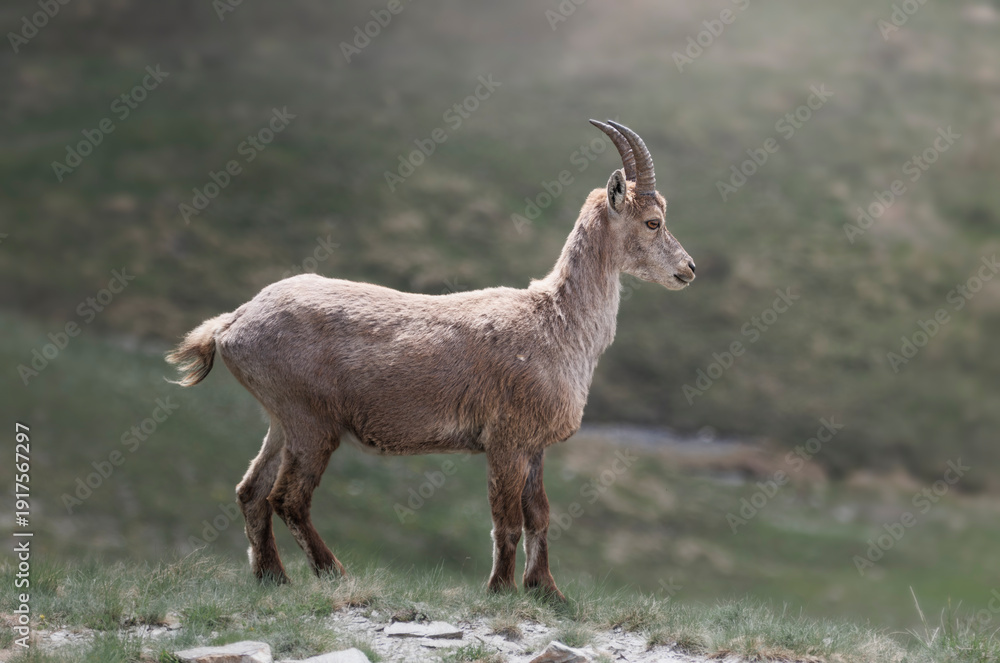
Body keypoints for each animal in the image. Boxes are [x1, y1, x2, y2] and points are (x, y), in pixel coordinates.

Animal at [166, 120, 695, 600]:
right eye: (653, 221)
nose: (688, 269)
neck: (557, 324)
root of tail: (232, 323)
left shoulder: (534, 446)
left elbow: (539, 515)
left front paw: (548, 592)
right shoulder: (505, 440)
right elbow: (506, 519)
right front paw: (500, 590)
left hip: (279, 420)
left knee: (251, 492)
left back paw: (273, 577)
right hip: (310, 422)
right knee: (288, 498)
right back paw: (334, 573)